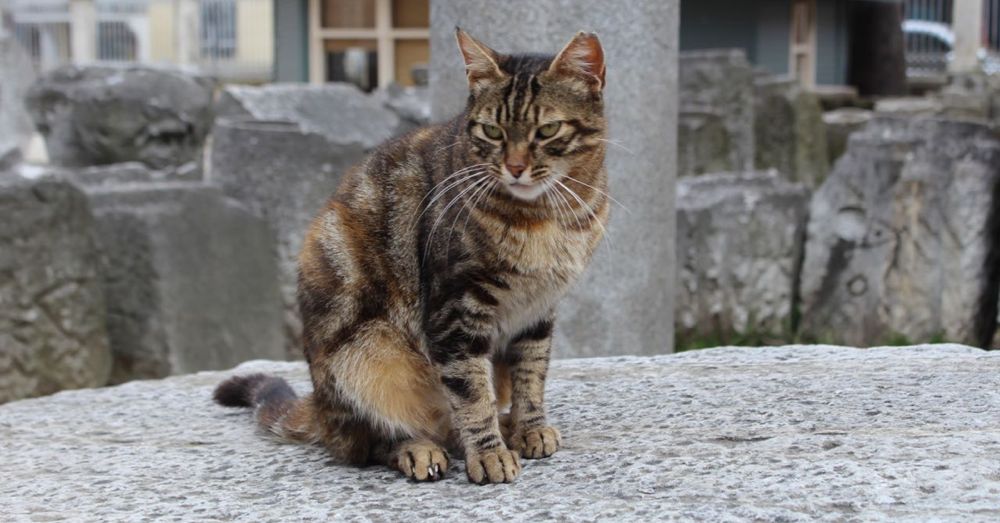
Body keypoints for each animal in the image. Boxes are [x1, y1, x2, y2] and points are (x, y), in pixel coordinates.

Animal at [215, 28, 608, 486]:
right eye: (492, 131)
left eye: (547, 129)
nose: (514, 167)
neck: (548, 217)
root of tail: (321, 409)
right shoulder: (454, 312)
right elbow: (472, 394)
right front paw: (489, 454)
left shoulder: (538, 310)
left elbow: (531, 374)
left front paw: (530, 428)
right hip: (368, 356)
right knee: (372, 442)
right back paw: (418, 449)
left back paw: (506, 424)